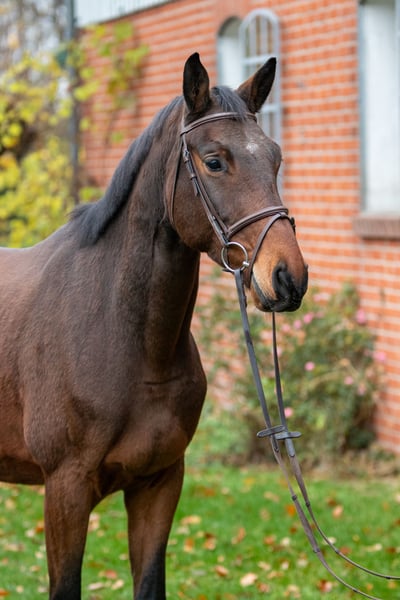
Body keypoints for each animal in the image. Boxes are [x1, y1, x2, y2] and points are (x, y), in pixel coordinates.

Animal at [0, 53, 308, 599]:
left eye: (275, 158)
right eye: (214, 160)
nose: (287, 277)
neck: (130, 343)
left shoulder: (160, 483)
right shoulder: (65, 490)